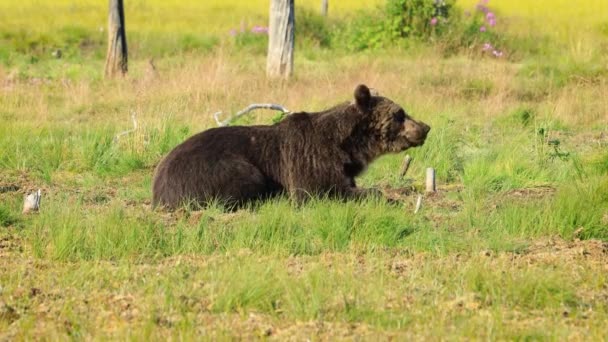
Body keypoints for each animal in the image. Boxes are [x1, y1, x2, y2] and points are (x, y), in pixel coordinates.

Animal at [151, 85, 428, 208]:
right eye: (400, 114)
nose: (425, 127)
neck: (349, 147)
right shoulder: (311, 159)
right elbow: (319, 189)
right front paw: (385, 197)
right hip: (214, 168)